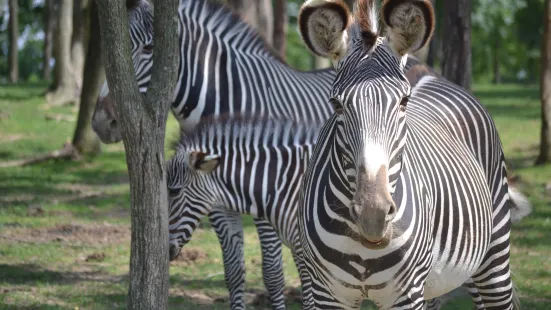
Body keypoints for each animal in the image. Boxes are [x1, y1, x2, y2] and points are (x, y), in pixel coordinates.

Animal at [296, 0, 532, 308]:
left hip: (494, 255)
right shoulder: (327, 293)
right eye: (336, 104)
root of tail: (435, 78)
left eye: (404, 102)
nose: (373, 215)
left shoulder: (406, 294)